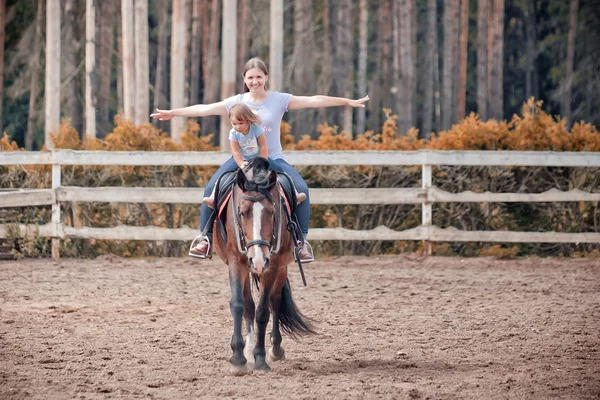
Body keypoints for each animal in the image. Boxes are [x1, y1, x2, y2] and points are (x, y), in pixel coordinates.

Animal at [212, 157, 316, 376]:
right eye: (242, 212)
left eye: (271, 211)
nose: (258, 259)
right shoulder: (236, 262)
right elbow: (239, 305)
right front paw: (238, 359)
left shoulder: (272, 266)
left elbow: (263, 312)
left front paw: (260, 359)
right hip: (246, 267)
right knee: (248, 305)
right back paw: (248, 350)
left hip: (281, 268)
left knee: (275, 302)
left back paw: (275, 350)